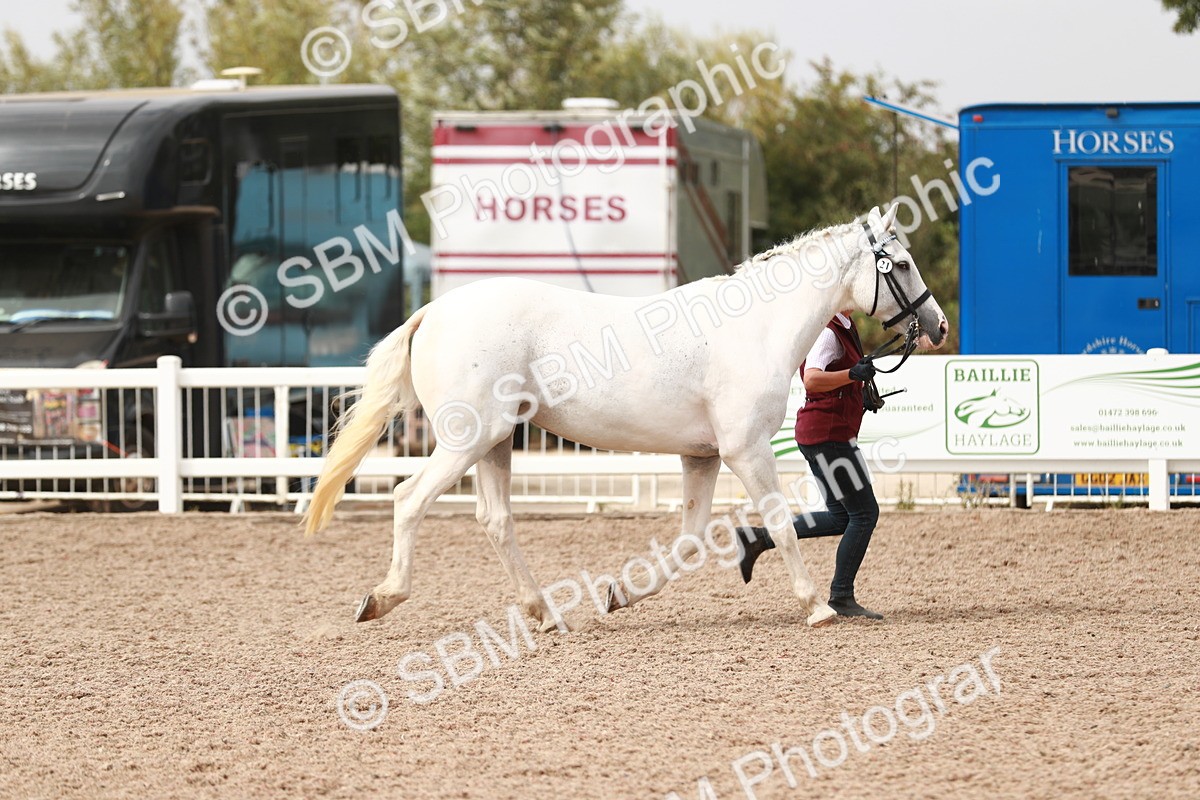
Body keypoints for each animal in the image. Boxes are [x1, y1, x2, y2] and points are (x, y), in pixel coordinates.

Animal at [303, 204, 949, 631]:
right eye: (903, 264)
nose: (937, 326)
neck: (754, 328)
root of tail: (432, 313)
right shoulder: (746, 450)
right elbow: (783, 525)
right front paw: (817, 607)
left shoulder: (702, 456)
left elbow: (689, 543)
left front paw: (620, 594)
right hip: (467, 441)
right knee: (409, 498)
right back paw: (383, 598)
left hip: (495, 443)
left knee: (495, 520)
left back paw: (544, 613)